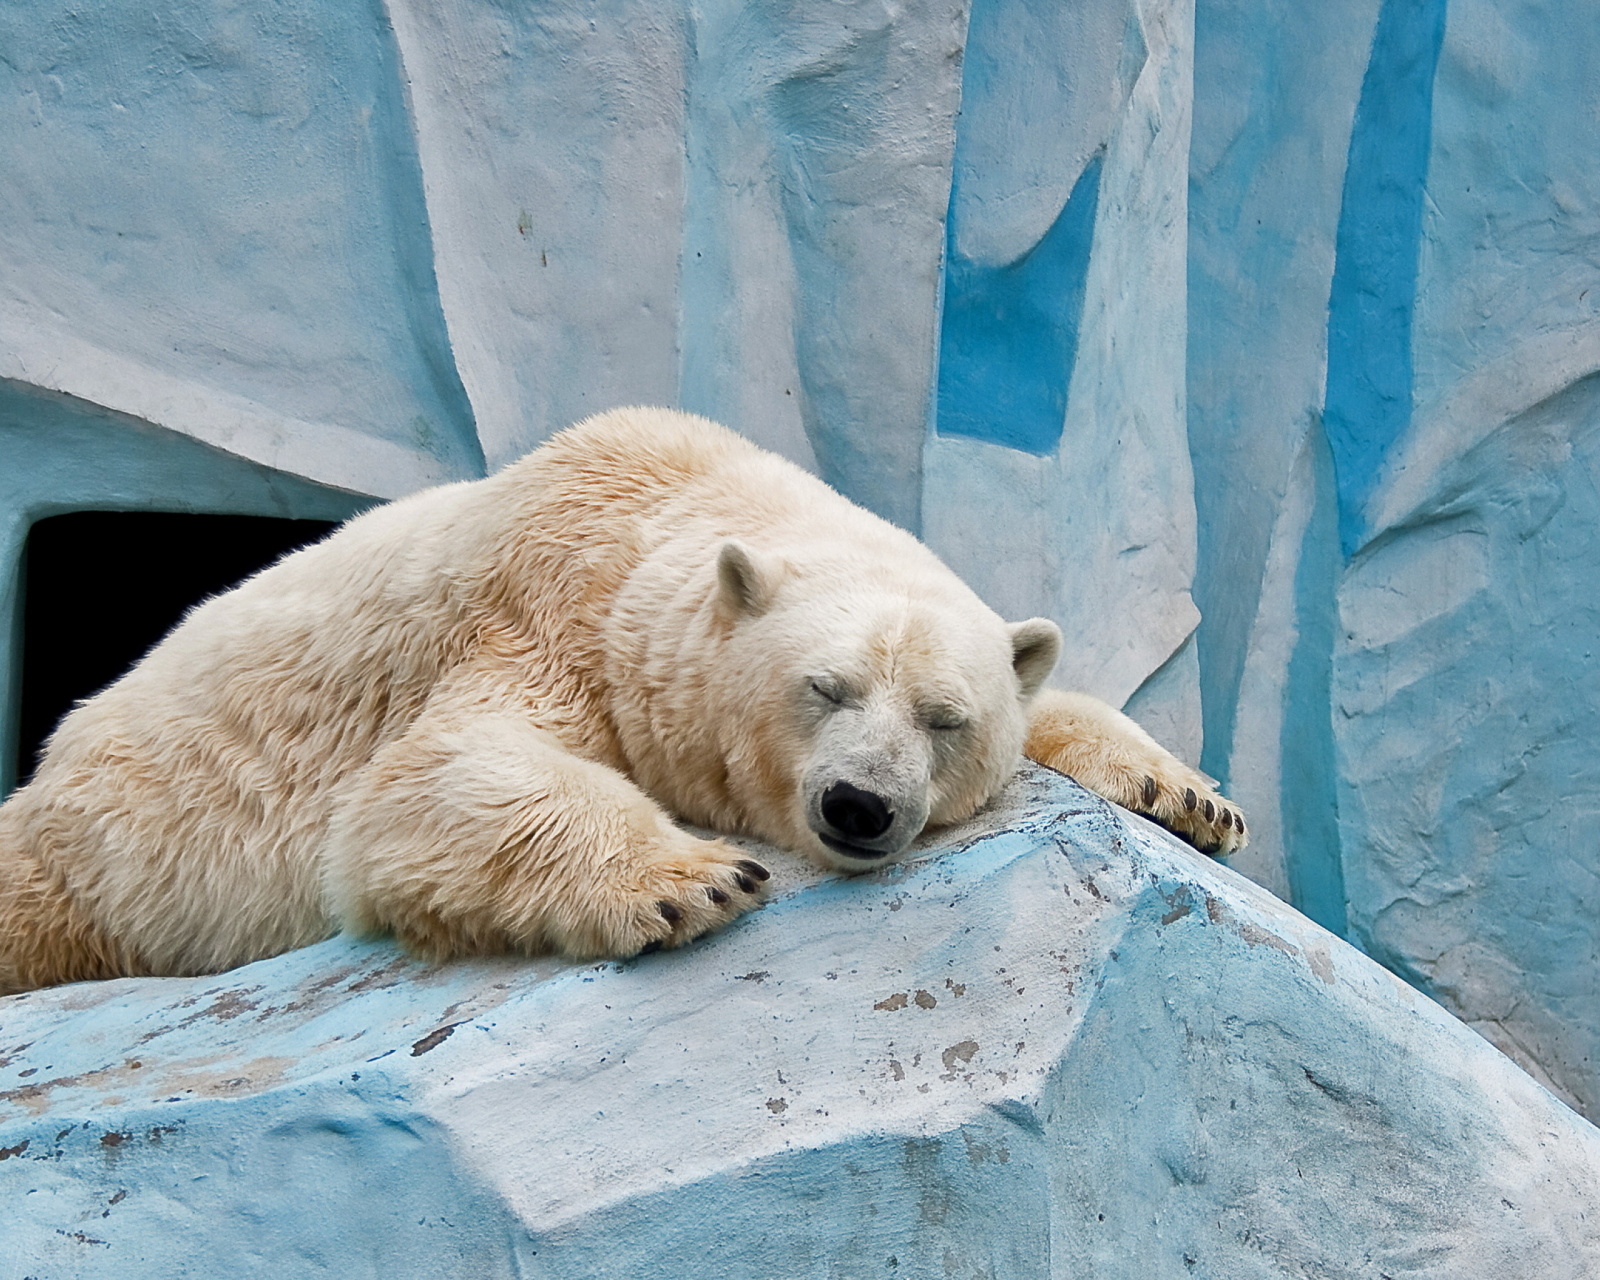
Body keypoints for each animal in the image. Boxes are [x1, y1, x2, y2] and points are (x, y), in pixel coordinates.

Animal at [0, 404, 1235, 992]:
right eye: (823, 687)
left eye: (945, 718)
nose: (859, 807)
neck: (667, 503)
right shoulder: (540, 610)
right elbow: (425, 781)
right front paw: (696, 877)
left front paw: (1191, 796)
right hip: (92, 850)